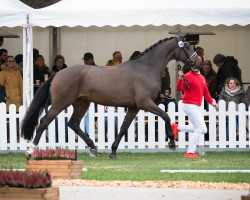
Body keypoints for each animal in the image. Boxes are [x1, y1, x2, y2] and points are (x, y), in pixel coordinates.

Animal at [21, 34, 197, 159]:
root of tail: (57, 74)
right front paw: (172, 142)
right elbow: (166, 115)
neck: (146, 68)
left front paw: (113, 152)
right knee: (44, 122)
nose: (199, 60)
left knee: (73, 123)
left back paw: (93, 147)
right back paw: (31, 151)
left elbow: (124, 127)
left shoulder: (134, 107)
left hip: (81, 104)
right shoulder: (145, 103)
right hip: (60, 103)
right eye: (187, 46)